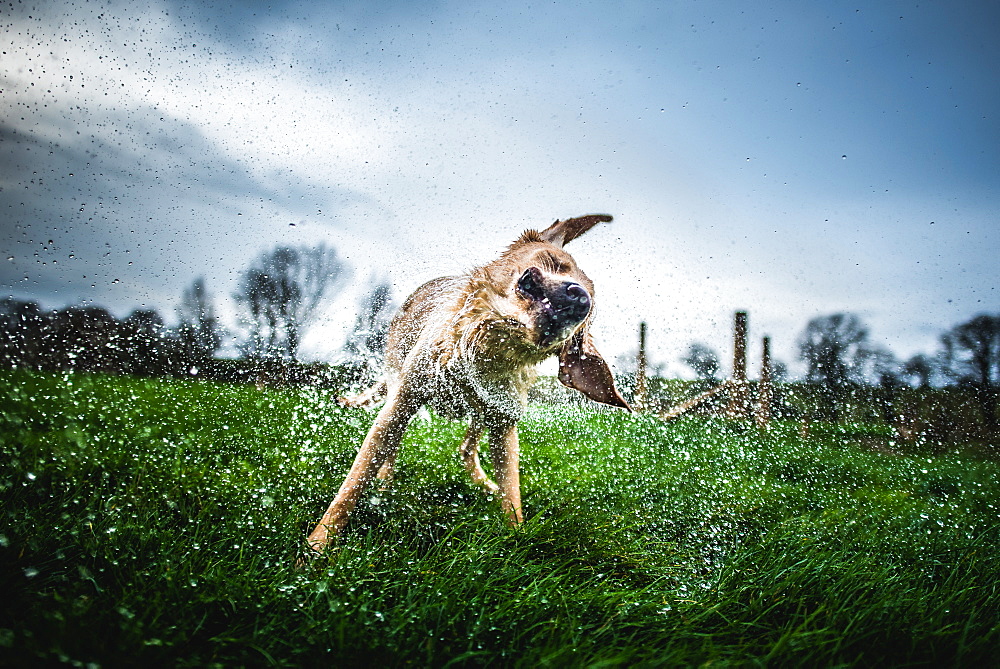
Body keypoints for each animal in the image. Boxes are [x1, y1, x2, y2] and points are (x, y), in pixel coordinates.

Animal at [304, 215, 628, 552]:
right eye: (555, 263)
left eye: (588, 314)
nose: (581, 298)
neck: (487, 348)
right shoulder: (404, 399)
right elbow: (355, 481)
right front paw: (318, 545)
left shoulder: (504, 422)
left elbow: (511, 489)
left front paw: (515, 535)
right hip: (397, 378)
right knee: (392, 448)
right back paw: (385, 480)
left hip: (482, 413)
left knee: (466, 448)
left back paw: (483, 483)